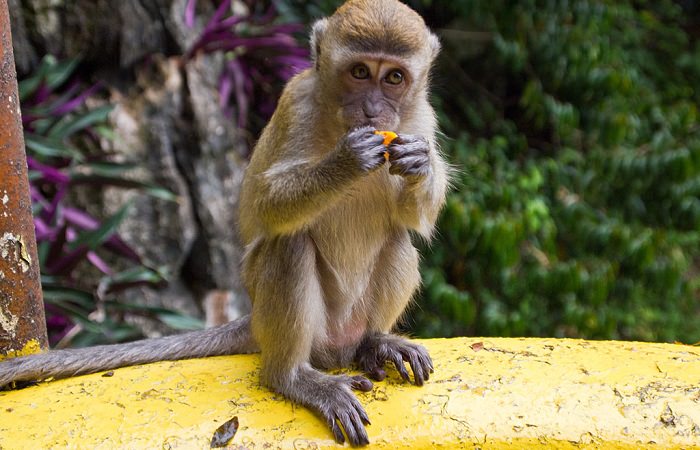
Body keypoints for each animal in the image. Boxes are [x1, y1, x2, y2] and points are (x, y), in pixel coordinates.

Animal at [0, 0, 446, 442]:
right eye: (359, 72)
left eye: (394, 78)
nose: (373, 110)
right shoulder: (297, 104)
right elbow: (267, 205)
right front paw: (347, 160)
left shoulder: (423, 117)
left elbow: (415, 218)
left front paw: (419, 163)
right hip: (297, 324)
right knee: (289, 245)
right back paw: (293, 378)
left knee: (397, 240)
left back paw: (375, 342)